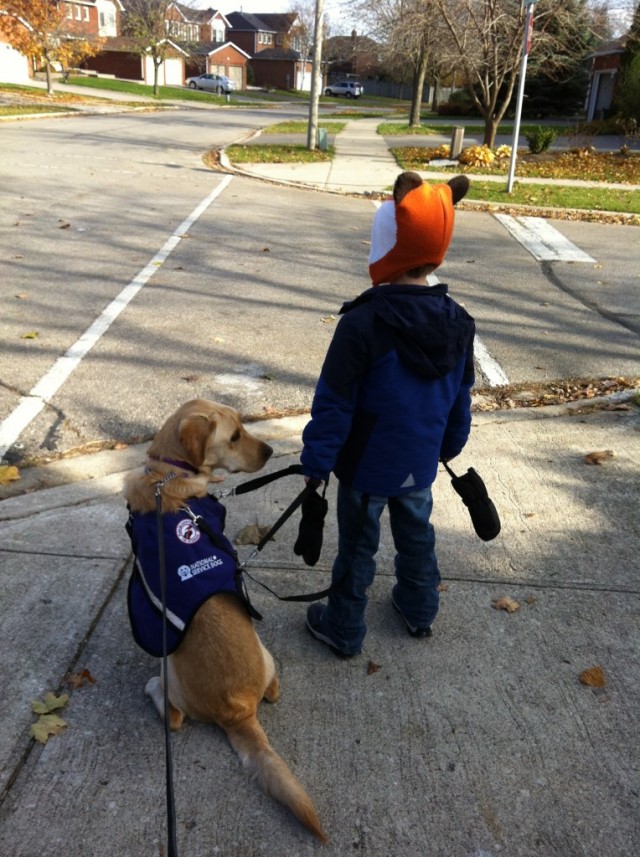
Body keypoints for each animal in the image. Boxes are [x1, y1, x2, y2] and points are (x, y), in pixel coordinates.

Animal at [124, 398, 324, 840]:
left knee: (174, 718)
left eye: (243, 429)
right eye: (234, 436)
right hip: (265, 655)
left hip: (170, 667)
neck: (168, 474)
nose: (270, 451)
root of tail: (238, 710)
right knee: (273, 691)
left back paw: (152, 689)